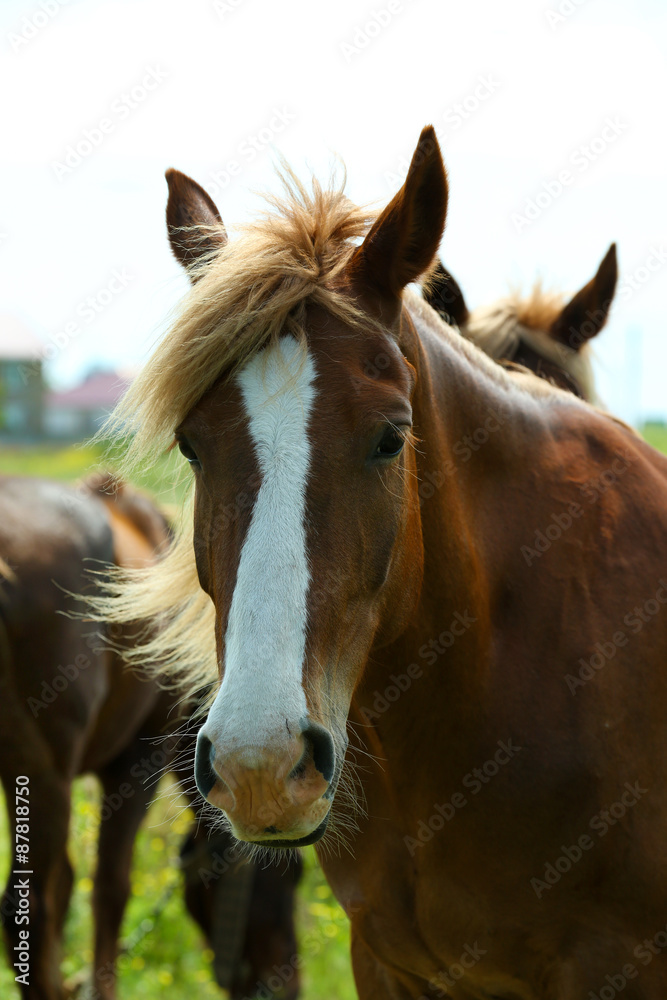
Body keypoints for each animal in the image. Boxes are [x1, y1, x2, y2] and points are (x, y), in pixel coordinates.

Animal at [0, 474, 301, 1000]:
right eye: (291, 878)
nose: (289, 983)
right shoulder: (137, 761)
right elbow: (109, 889)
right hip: (43, 776)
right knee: (30, 906)